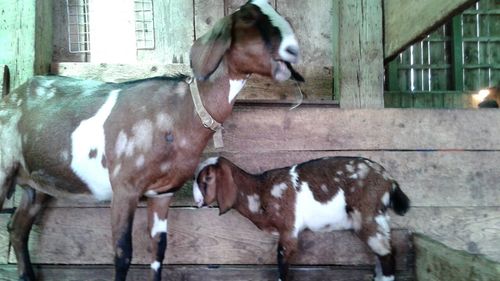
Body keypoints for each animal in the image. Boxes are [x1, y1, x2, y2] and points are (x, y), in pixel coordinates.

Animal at [0, 1, 302, 278]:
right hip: (5, 172)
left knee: (17, 228)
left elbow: (158, 250)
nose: (293, 49)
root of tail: (11, 96)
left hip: (37, 185)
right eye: (248, 18)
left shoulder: (162, 193)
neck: (180, 113)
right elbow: (122, 253)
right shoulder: (125, 187)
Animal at [193, 155, 408, 280]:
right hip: (378, 218)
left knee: (387, 254)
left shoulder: (289, 229)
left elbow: (282, 267)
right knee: (384, 252)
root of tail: (389, 180)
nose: (196, 201)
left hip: (368, 215)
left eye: (206, 179)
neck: (260, 190)